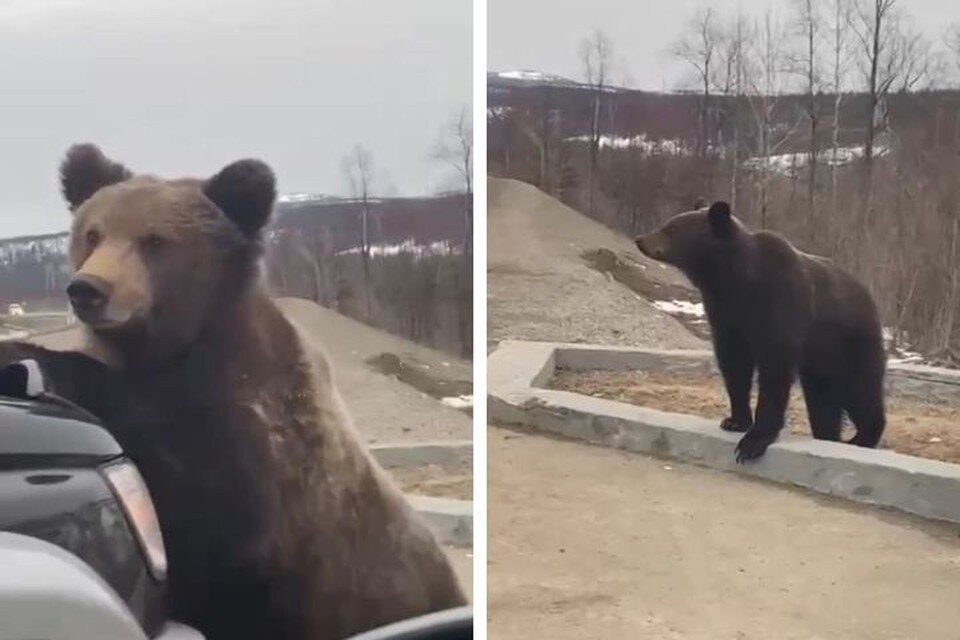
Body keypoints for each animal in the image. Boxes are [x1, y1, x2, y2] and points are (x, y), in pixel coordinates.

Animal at [0, 145, 466, 640]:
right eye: (93, 233)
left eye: (155, 240)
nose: (87, 289)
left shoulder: (260, 444)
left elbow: (214, 507)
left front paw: (28, 358)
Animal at [632, 202, 888, 462]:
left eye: (672, 228)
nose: (641, 240)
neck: (736, 279)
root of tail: (870, 300)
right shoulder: (726, 315)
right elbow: (734, 365)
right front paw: (735, 421)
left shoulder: (779, 305)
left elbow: (774, 368)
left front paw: (752, 442)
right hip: (820, 360)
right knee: (822, 400)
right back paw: (827, 436)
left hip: (850, 342)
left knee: (860, 389)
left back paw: (862, 437)